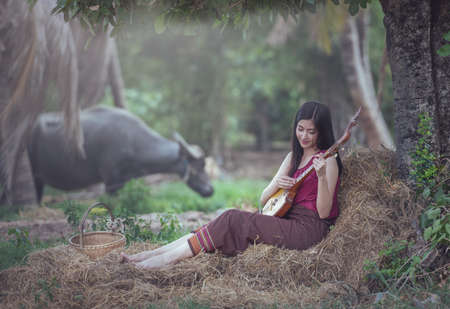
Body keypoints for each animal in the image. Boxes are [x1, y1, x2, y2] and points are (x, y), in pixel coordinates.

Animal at [28, 106, 214, 202]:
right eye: (197, 168)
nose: (211, 190)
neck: (134, 142)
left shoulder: (122, 181)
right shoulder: (111, 183)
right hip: (35, 176)